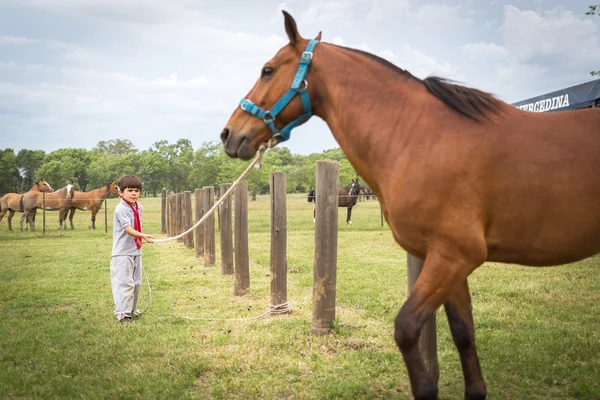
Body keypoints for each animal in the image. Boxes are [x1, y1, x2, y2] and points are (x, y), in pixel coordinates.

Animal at [223, 11, 600, 400]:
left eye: (268, 70)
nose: (228, 134)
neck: (420, 138)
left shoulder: (454, 256)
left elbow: (406, 329)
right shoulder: (450, 263)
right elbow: (463, 332)